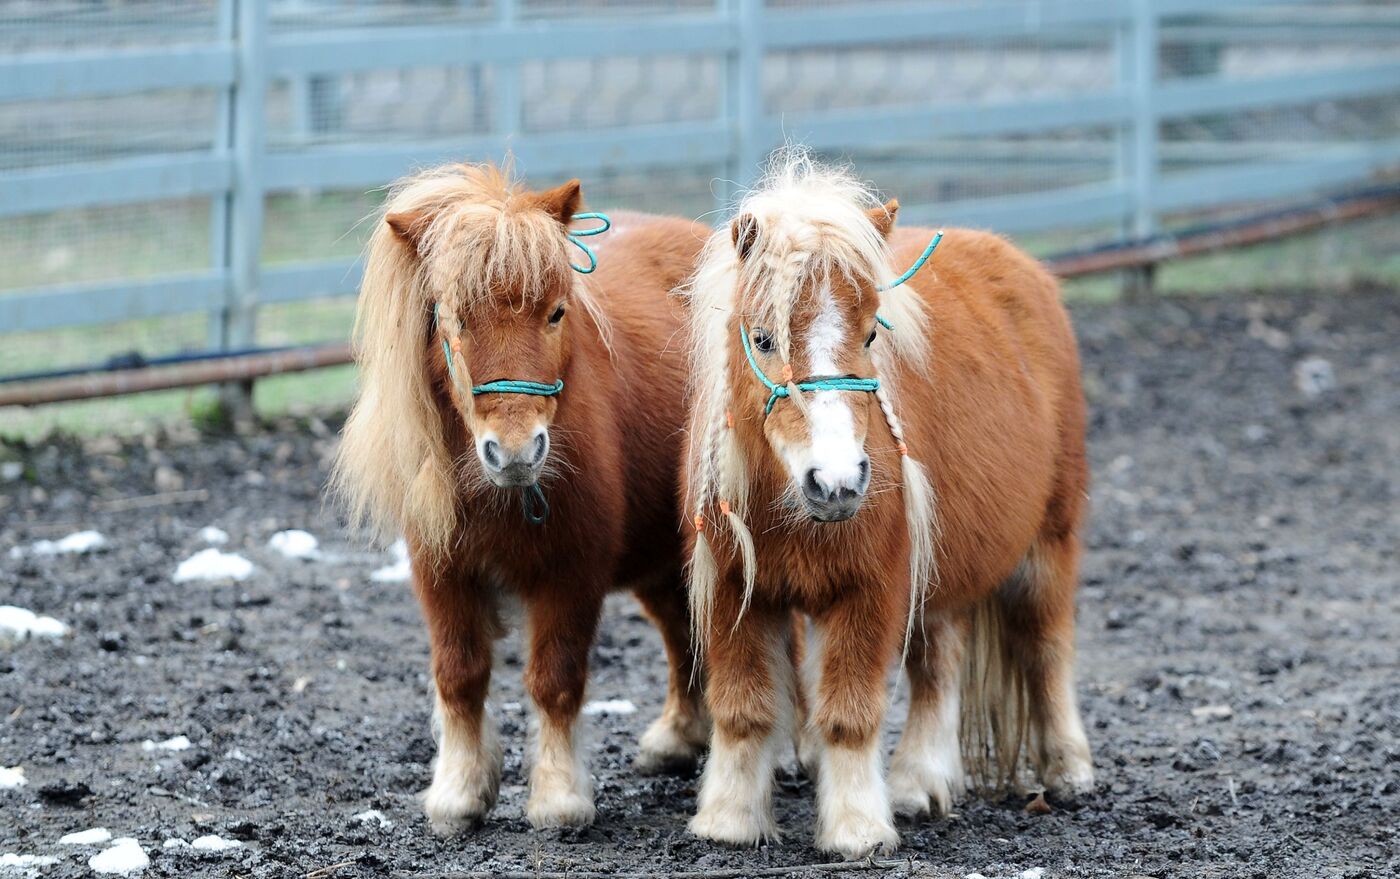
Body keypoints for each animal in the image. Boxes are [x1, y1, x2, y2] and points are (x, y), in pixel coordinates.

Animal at [333, 159, 716, 839]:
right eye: (452, 318)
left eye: (556, 313)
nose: (515, 452)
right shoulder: (442, 574)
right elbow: (459, 676)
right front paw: (459, 792)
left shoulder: (571, 575)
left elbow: (554, 681)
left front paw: (559, 798)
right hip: (659, 560)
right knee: (681, 631)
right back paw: (677, 738)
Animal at [677, 149, 1092, 856]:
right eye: (762, 338)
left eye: (872, 334)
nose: (837, 482)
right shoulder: (735, 588)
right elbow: (743, 709)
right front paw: (729, 820)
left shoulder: (870, 588)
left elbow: (848, 714)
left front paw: (855, 830)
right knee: (939, 666)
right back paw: (920, 783)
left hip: (1047, 545)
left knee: (1046, 642)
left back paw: (1068, 770)